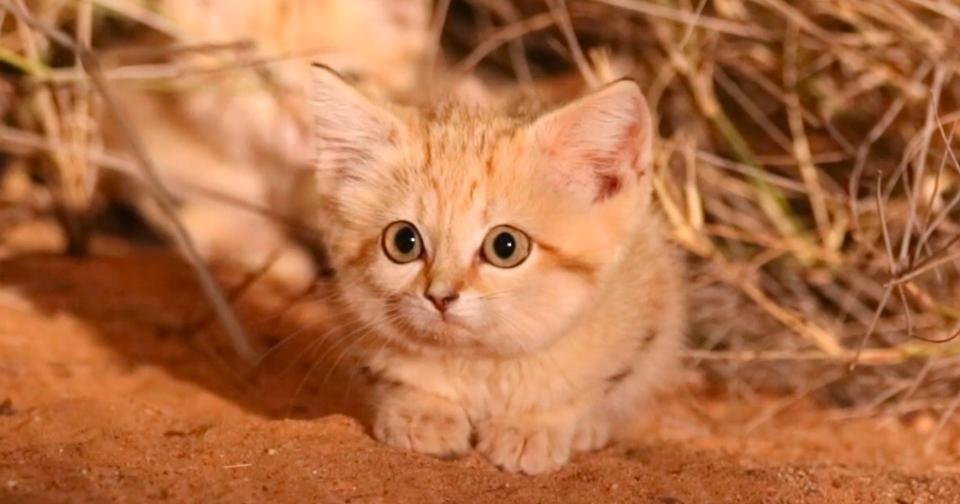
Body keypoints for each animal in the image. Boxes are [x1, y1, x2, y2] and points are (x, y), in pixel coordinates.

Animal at [312, 65, 688, 474]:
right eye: (403, 241)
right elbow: (401, 377)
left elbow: (586, 389)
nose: (440, 296)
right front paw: (424, 412)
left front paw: (532, 426)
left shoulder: (643, 317)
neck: (480, 363)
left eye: (505, 246)